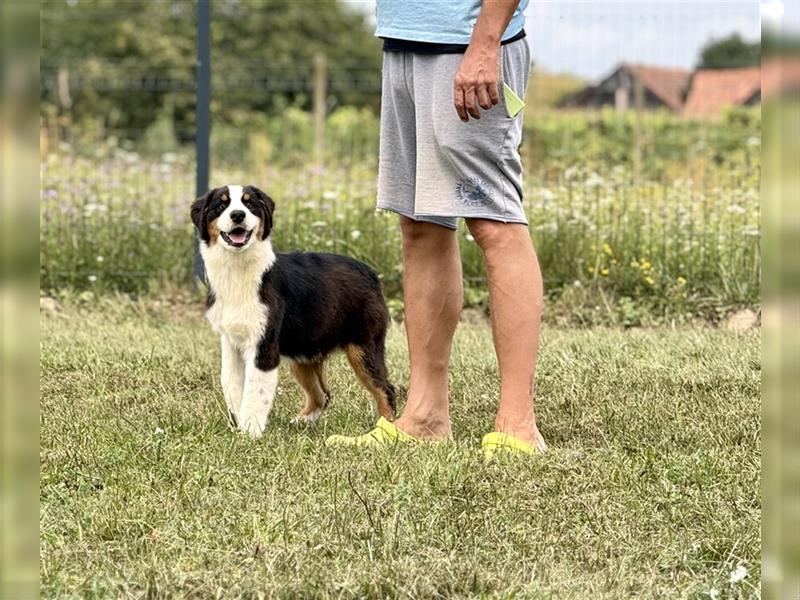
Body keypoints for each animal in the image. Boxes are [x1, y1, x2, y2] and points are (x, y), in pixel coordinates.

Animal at [191, 183, 396, 436]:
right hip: (305, 353)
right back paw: (301, 421)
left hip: (363, 346)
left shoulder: (264, 346)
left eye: (249, 204)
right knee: (323, 395)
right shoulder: (230, 341)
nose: (238, 215)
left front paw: (250, 433)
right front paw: (238, 428)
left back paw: (386, 431)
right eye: (221, 205)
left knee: (385, 388)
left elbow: (255, 393)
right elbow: (233, 386)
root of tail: (370, 272)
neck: (237, 272)